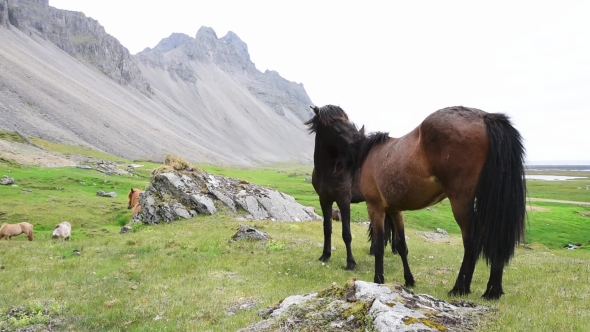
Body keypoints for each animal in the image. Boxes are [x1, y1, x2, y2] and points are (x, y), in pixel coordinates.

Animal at [314, 105, 528, 300]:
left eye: (339, 121)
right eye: (333, 122)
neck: (365, 154)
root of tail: (485, 117)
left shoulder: (374, 207)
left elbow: (378, 244)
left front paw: (378, 279)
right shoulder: (394, 210)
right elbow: (401, 245)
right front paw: (409, 280)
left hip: (461, 202)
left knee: (472, 240)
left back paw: (460, 287)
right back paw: (491, 290)